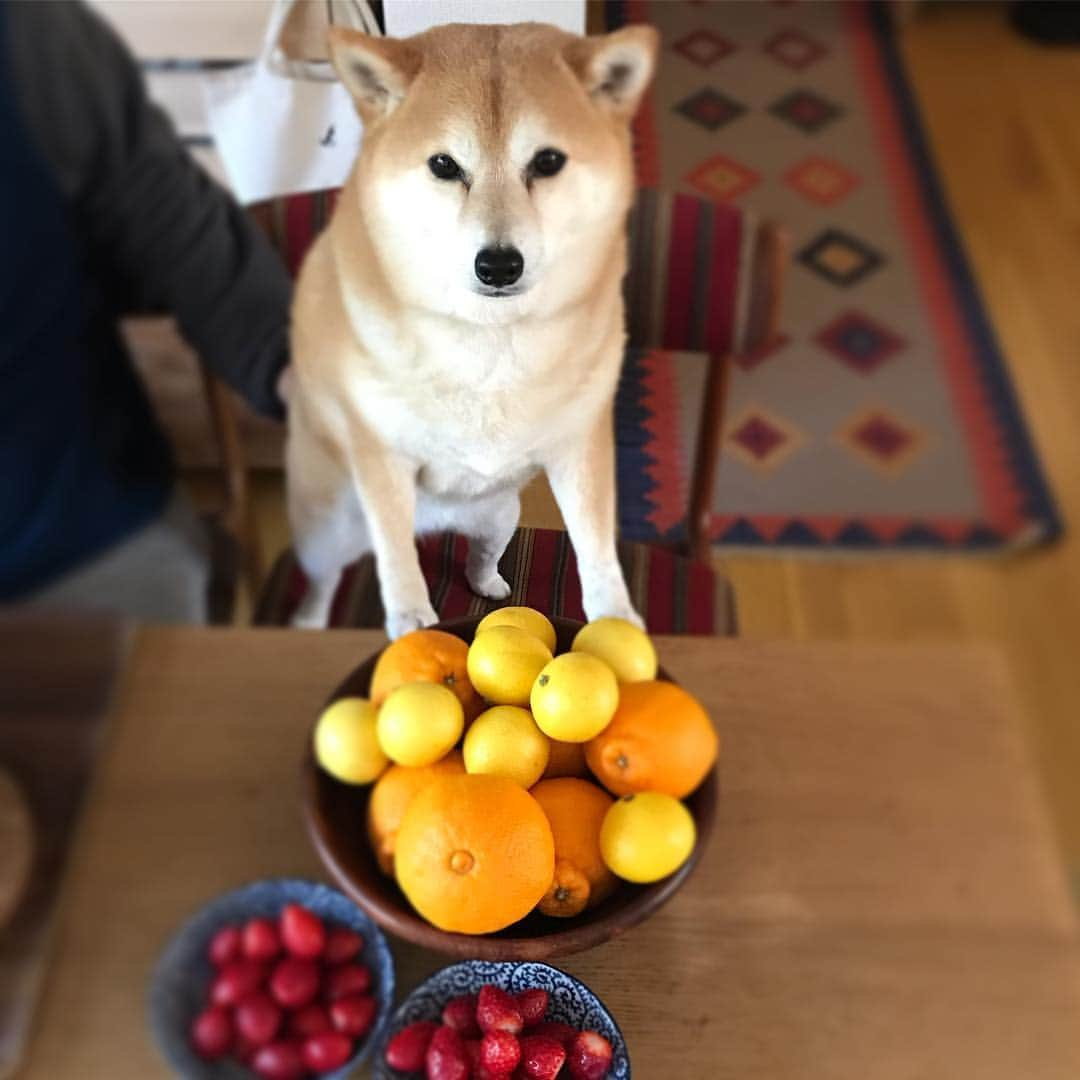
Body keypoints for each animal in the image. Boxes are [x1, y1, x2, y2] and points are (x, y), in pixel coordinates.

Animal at [289, 21, 656, 635]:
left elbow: (595, 541)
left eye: (547, 161)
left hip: (501, 513)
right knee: (325, 577)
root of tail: (436, 522)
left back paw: (489, 582)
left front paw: (616, 614)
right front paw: (411, 618)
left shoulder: (579, 444)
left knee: (480, 553)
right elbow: (394, 553)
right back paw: (311, 618)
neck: (490, 339)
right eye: (444, 166)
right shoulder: (379, 454)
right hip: (330, 530)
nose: (499, 264)